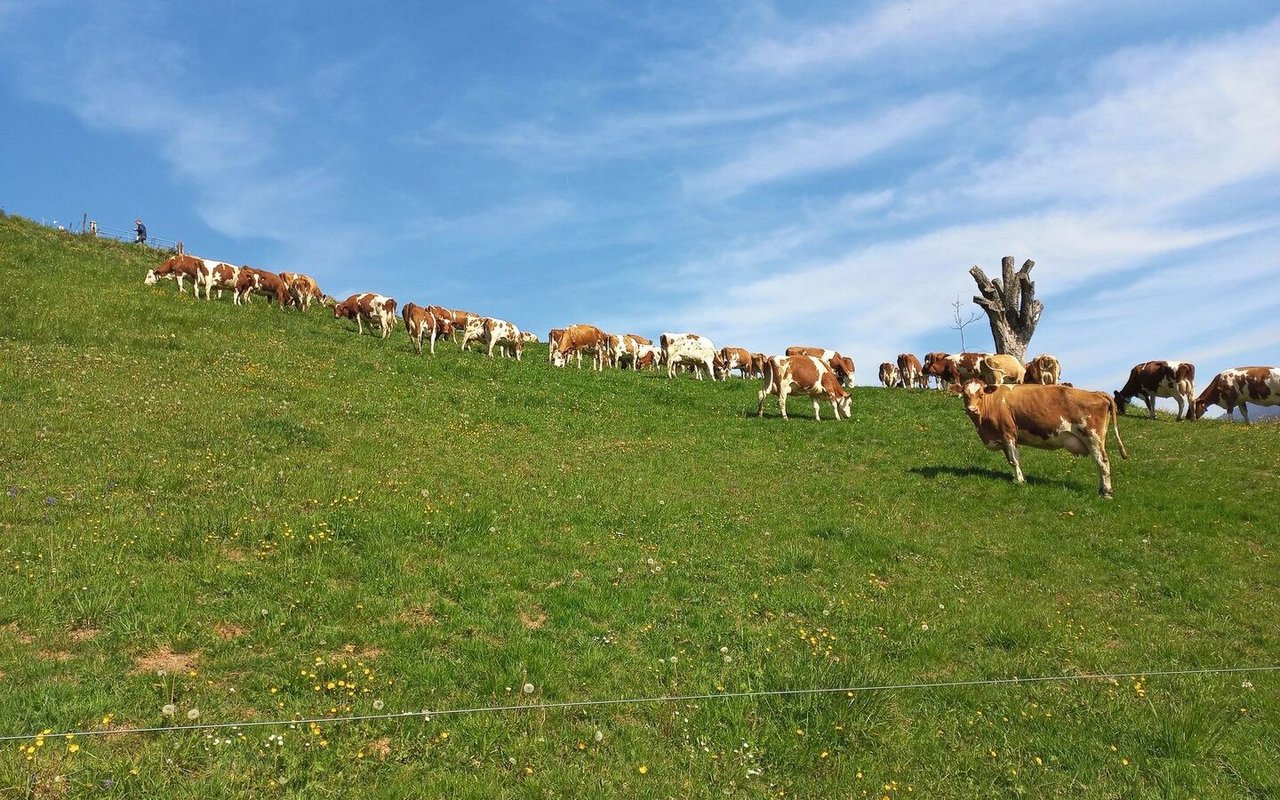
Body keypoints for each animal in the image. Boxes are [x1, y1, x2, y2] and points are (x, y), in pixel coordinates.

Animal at [962, 376, 1131, 496]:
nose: (972, 409)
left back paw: (1106, 492)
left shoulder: (1008, 433)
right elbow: (1011, 460)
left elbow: (1015, 460)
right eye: (964, 395)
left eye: (981, 394)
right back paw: (1102, 489)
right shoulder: (1002, 438)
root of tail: (1096, 393)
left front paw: (1020, 481)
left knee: (1102, 462)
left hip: (1093, 437)